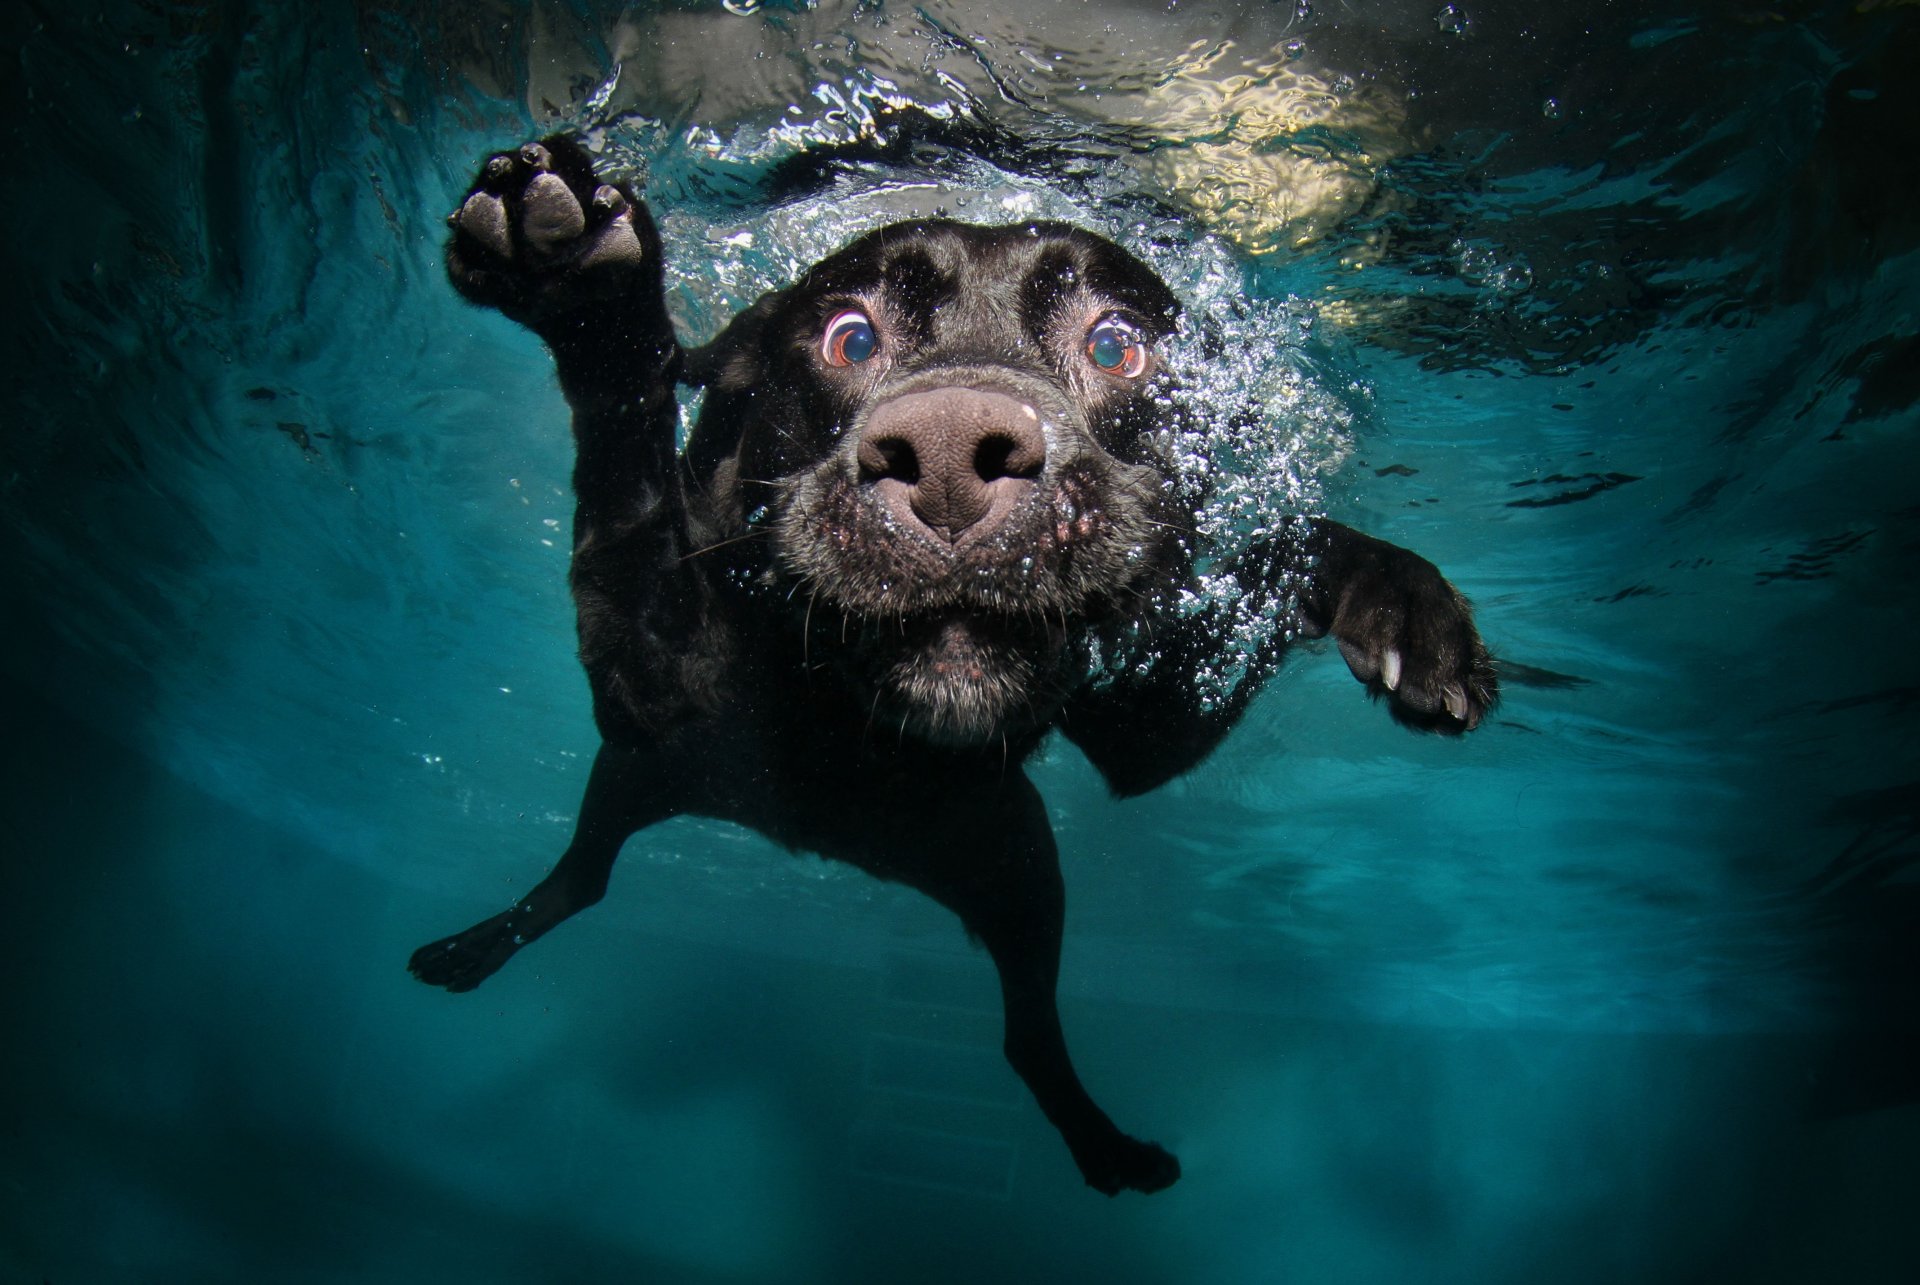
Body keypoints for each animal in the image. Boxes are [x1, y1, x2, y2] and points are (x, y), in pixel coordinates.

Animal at [408, 138, 1497, 1190]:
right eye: (849, 338)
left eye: (1116, 344)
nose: (944, 455)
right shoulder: (651, 681)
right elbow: (624, 480)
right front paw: (584, 284)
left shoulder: (1148, 726)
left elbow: (1286, 547)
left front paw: (1406, 603)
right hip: (640, 776)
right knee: (584, 878)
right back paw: (471, 948)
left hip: (1017, 866)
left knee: (1026, 1036)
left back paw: (1107, 1148)